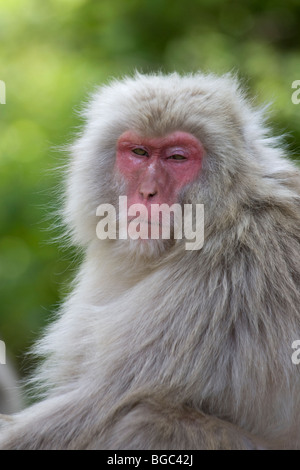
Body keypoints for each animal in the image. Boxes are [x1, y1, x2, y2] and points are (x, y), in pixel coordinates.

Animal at [0, 71, 300, 450]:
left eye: (177, 157)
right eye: (139, 153)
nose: (148, 193)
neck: (226, 216)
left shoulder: (227, 281)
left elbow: (94, 408)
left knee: (144, 421)